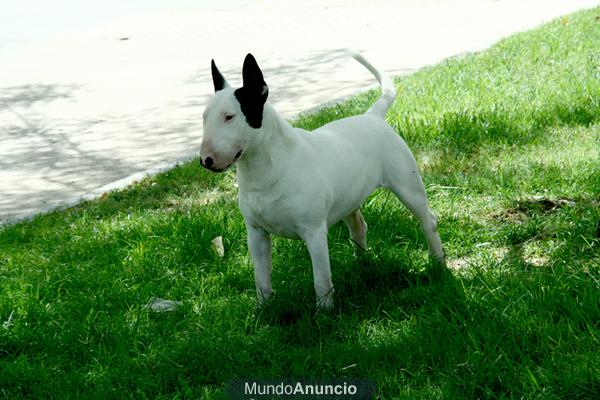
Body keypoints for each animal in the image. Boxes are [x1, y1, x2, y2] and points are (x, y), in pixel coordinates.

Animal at [202, 53, 446, 310]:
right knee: (359, 227)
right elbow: (261, 277)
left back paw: (437, 261)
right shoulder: (256, 233)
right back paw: (363, 265)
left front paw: (324, 311)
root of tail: (372, 116)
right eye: (204, 117)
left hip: (408, 186)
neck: (265, 168)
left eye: (229, 117)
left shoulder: (314, 231)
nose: (205, 160)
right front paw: (263, 309)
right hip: (349, 198)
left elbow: (321, 277)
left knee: (428, 220)